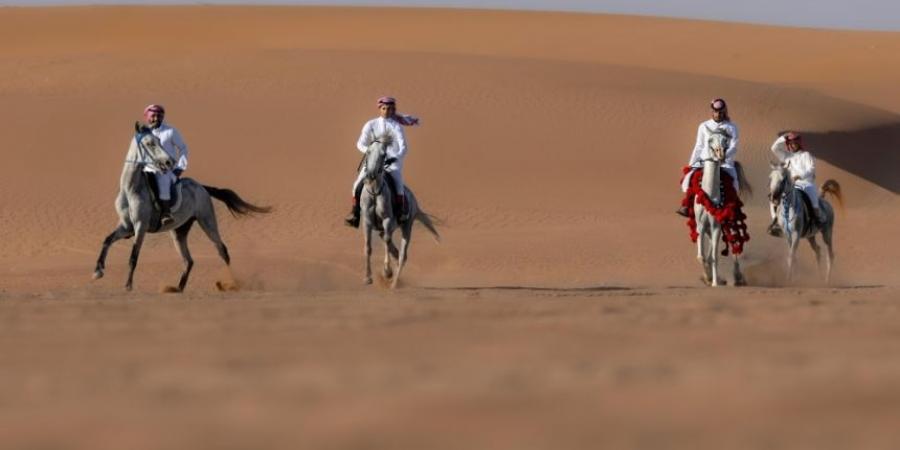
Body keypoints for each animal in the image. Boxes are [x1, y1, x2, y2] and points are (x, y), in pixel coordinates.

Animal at [95, 123, 272, 292]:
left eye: (159, 141)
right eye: (150, 143)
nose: (169, 162)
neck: (131, 188)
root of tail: (201, 187)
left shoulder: (140, 226)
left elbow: (133, 257)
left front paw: (128, 285)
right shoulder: (126, 226)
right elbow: (107, 240)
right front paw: (98, 271)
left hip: (207, 222)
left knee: (222, 251)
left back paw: (231, 283)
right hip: (179, 232)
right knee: (189, 260)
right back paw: (177, 288)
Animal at [360, 134, 442, 288]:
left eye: (383, 154)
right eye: (368, 152)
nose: (371, 174)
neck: (374, 191)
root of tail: (414, 202)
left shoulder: (387, 220)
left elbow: (387, 241)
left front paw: (387, 271)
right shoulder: (367, 221)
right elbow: (368, 246)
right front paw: (367, 277)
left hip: (406, 226)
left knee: (402, 255)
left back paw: (394, 283)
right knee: (394, 249)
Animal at [692, 128, 748, 286]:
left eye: (725, 140)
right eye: (710, 140)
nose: (720, 154)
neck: (710, 195)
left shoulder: (716, 225)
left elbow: (714, 256)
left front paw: (715, 282)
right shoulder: (701, 226)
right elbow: (701, 256)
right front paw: (707, 277)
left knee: (734, 243)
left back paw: (737, 276)